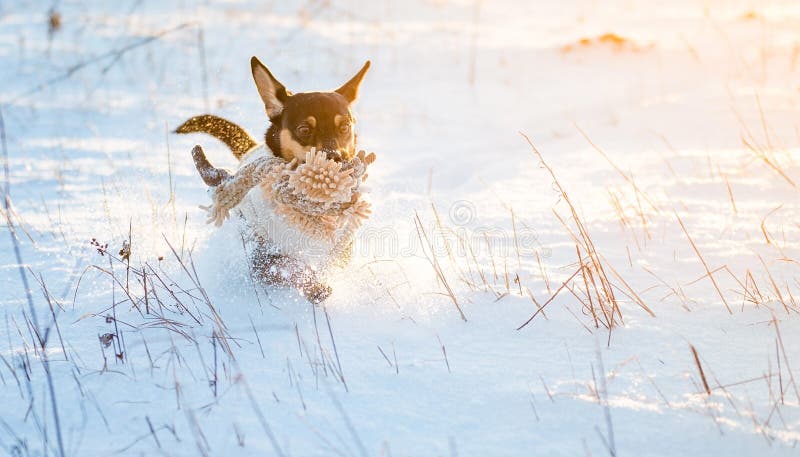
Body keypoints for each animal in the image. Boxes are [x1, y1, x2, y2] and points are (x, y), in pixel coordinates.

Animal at [177, 57, 370, 304]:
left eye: (344, 127)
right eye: (304, 129)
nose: (336, 159)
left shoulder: (341, 250)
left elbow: (330, 262)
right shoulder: (262, 259)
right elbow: (290, 266)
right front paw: (314, 286)